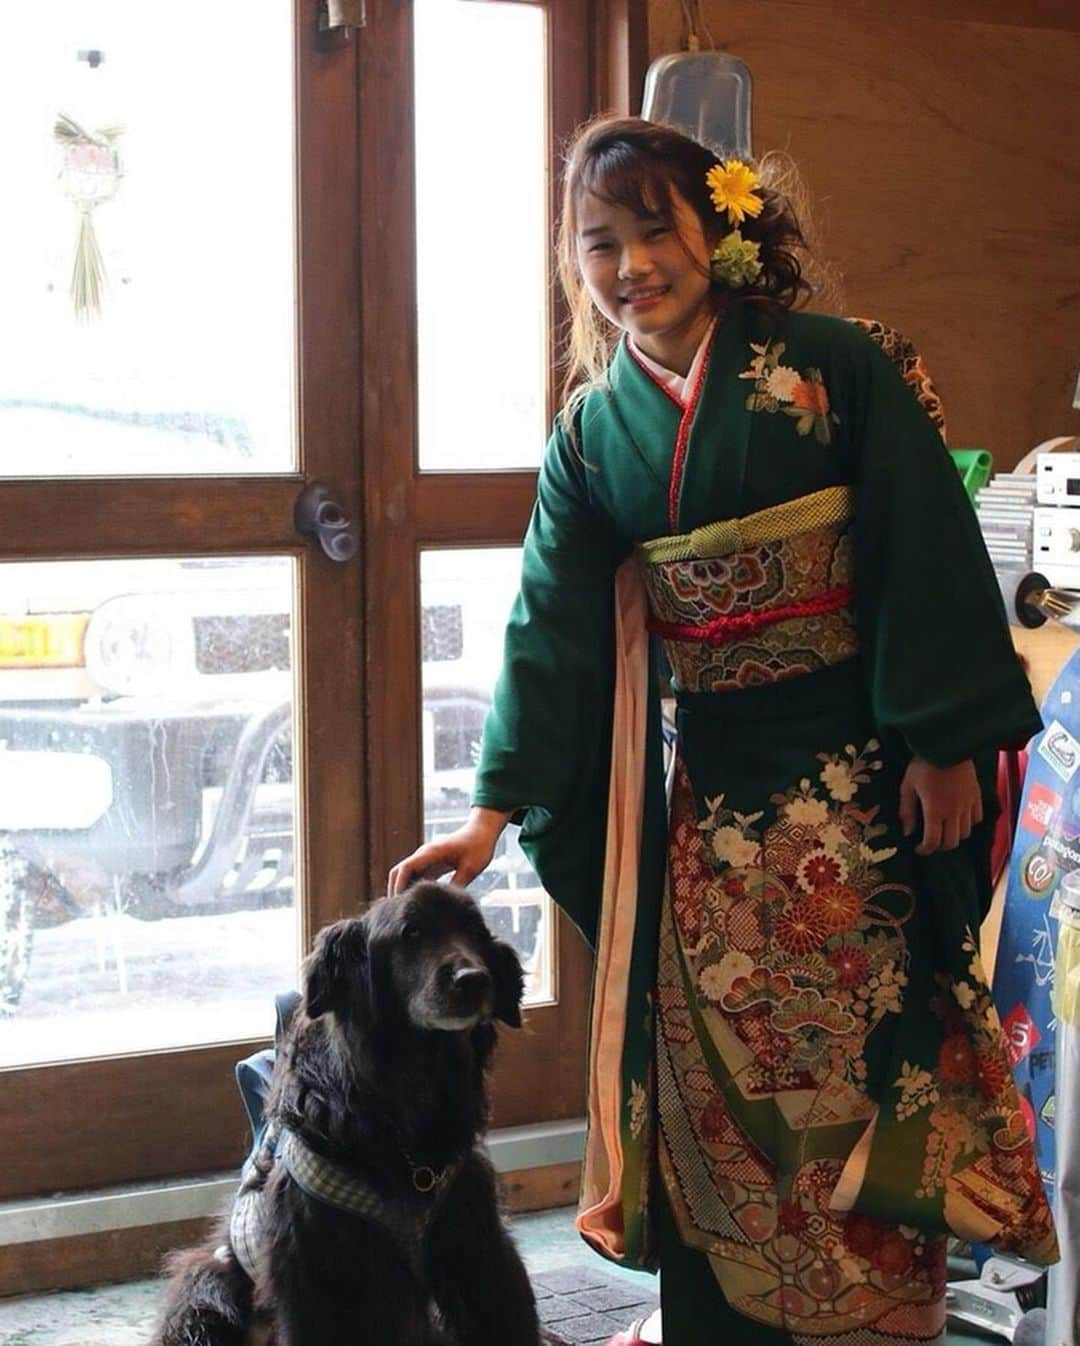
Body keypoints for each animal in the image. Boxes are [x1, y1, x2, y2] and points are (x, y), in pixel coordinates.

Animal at [147, 882, 538, 1346]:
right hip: (207, 1290)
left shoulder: (477, 1247)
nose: (474, 979)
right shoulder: (314, 1271)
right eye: (412, 932)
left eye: (477, 932)